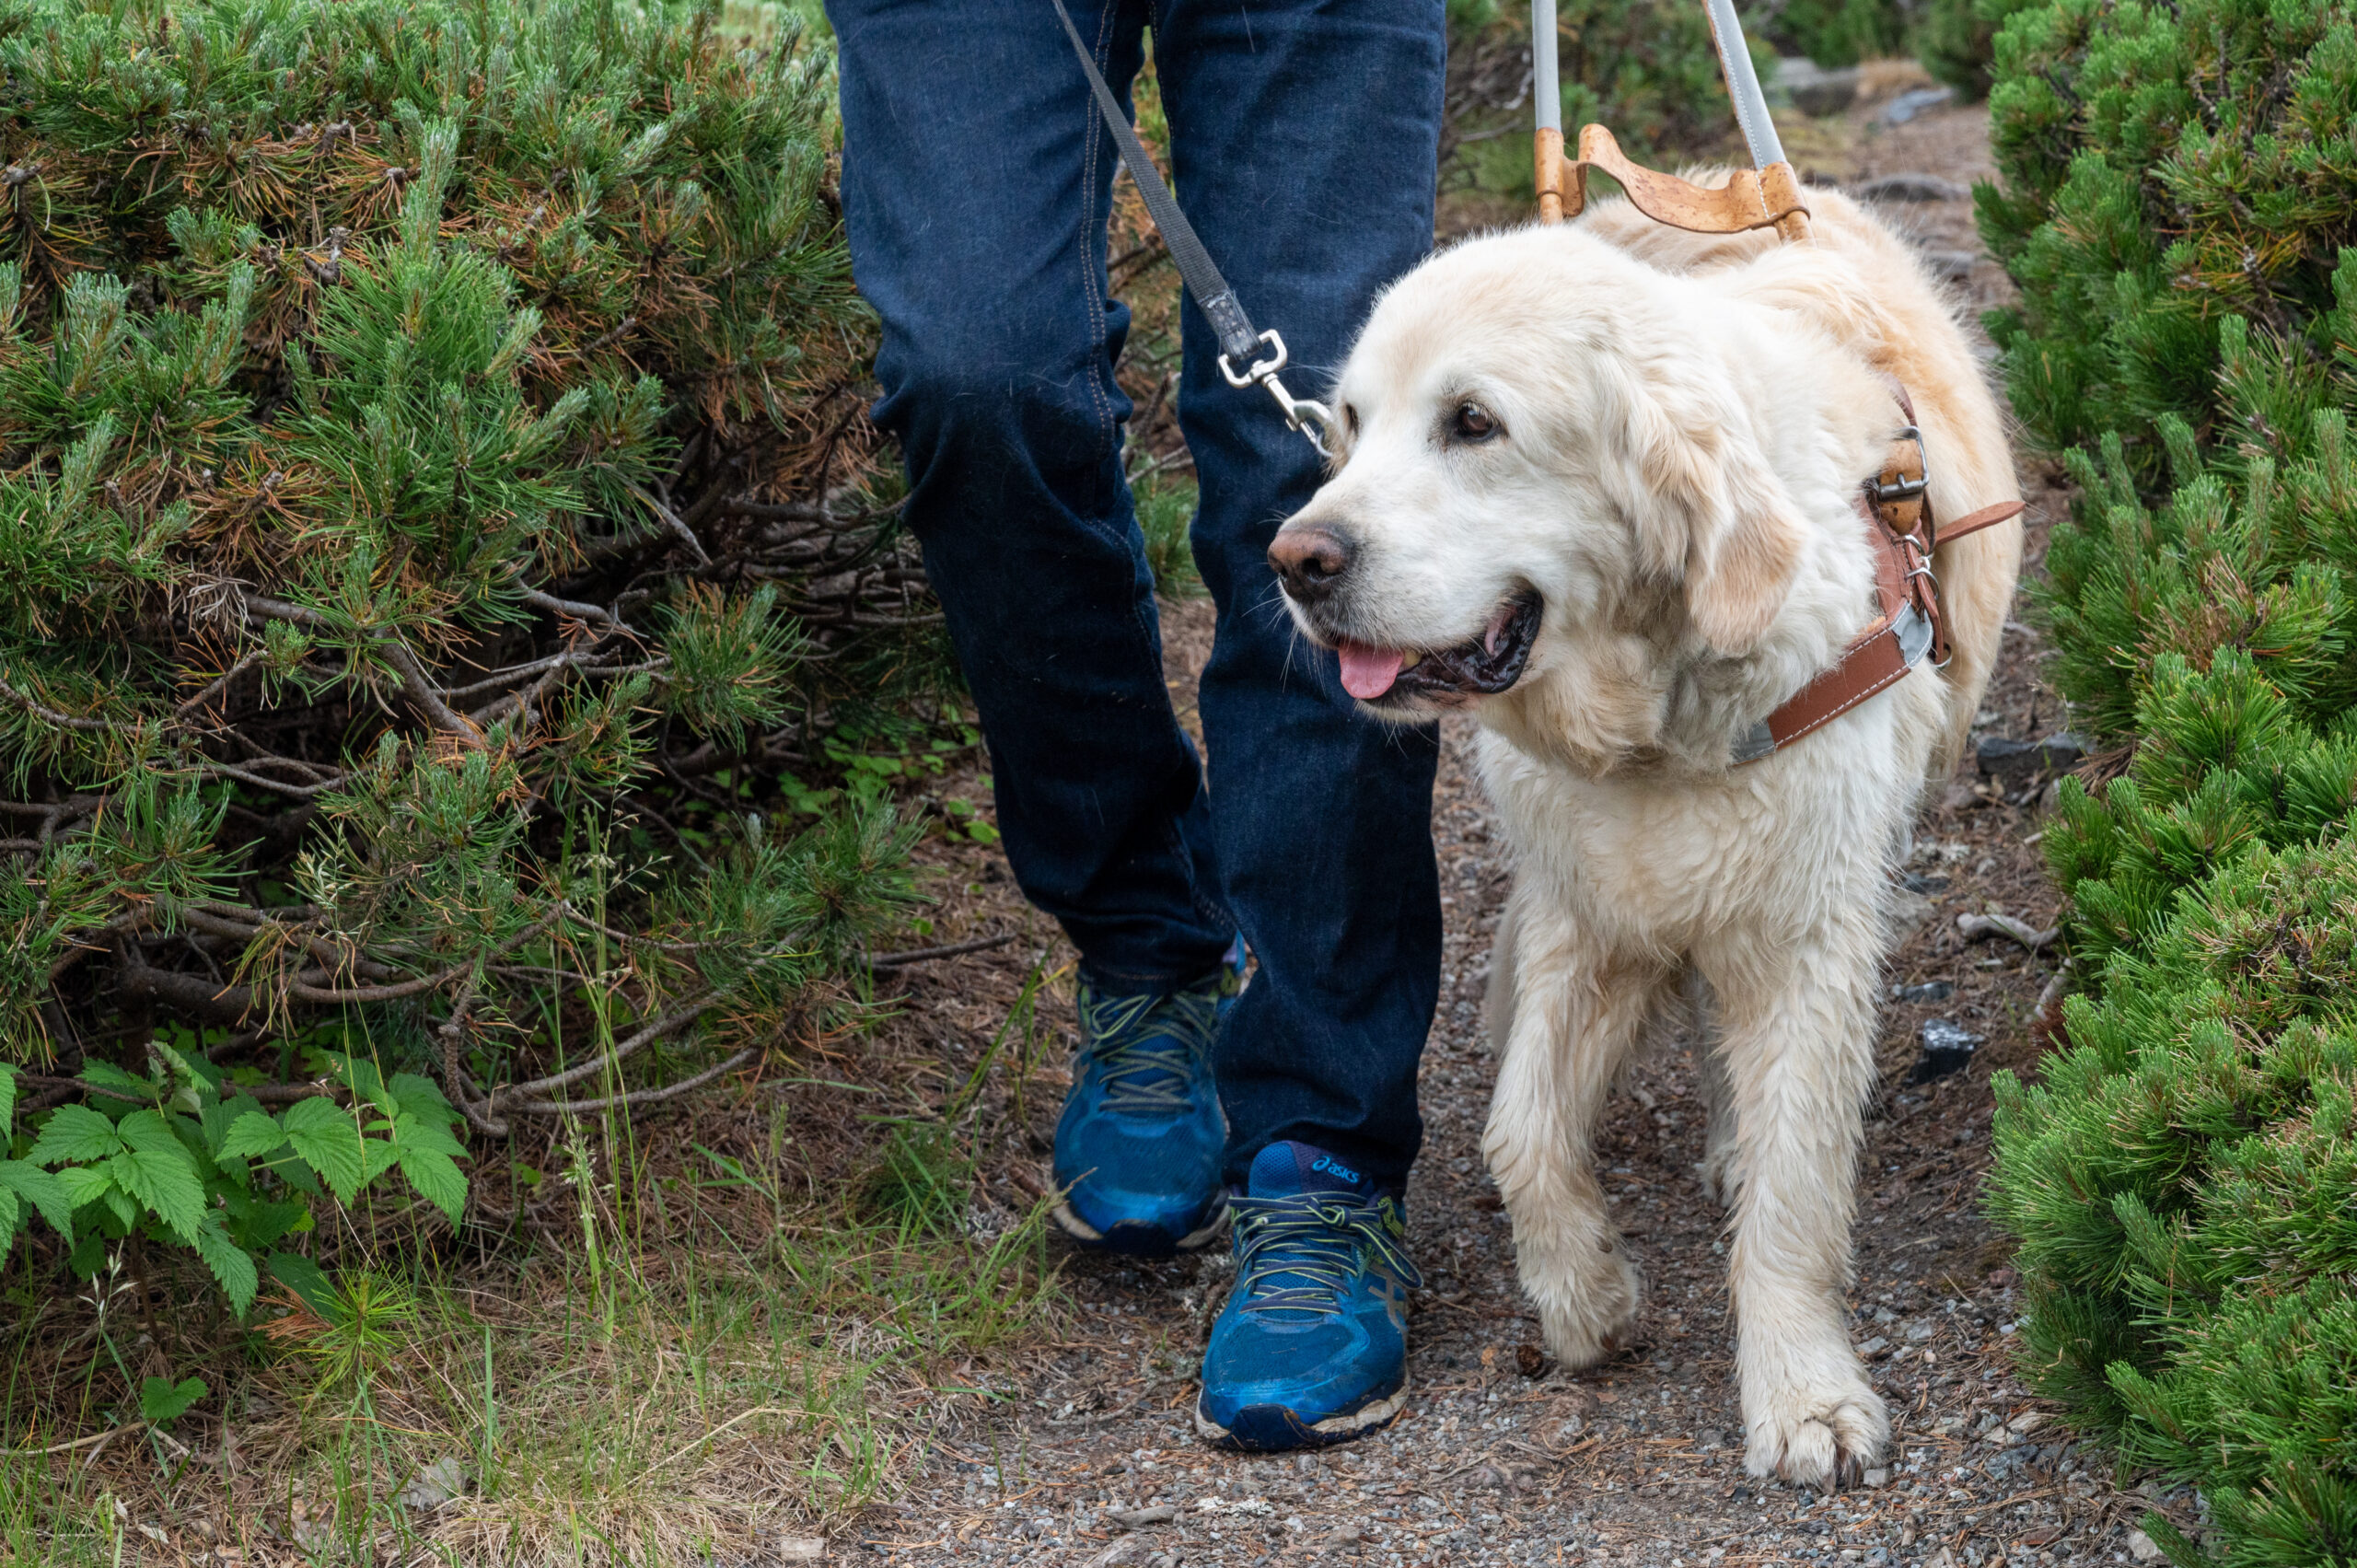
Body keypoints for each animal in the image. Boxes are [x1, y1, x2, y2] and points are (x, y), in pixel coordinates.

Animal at [1272, 190, 2026, 1490]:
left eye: (1474, 423)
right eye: (1351, 427)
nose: (1295, 561)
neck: (1653, 719)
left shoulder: (1805, 930)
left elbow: (1792, 1190)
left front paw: (1802, 1392)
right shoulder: (1586, 915)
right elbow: (1521, 1131)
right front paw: (1586, 1299)